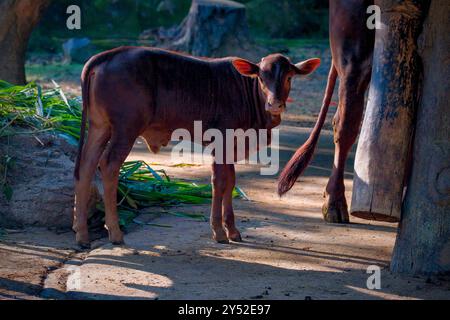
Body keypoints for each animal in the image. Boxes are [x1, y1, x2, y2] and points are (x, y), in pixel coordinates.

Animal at [74, 46, 320, 248]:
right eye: (261, 77)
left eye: (289, 77)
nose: (274, 104)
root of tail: (110, 54)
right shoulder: (221, 139)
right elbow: (219, 182)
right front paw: (219, 232)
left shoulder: (231, 145)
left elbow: (231, 181)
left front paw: (232, 230)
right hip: (126, 127)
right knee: (108, 165)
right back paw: (115, 233)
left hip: (99, 126)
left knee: (86, 165)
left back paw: (82, 234)